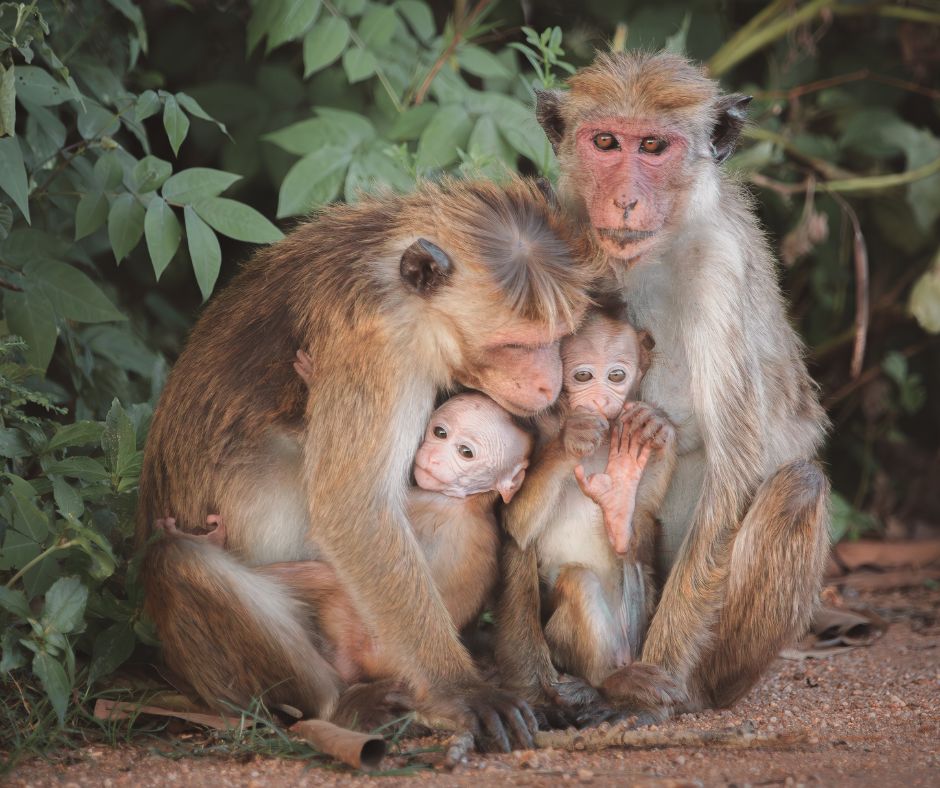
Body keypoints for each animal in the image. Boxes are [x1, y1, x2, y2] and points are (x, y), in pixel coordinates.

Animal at [136, 180, 592, 752]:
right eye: (516, 344)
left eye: (559, 336)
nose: (549, 385)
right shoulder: (377, 351)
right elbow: (354, 511)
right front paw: (461, 689)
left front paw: (535, 687)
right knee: (177, 561)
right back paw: (337, 705)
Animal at [500, 50, 828, 720]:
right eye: (606, 142)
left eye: (653, 146)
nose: (625, 198)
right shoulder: (542, 238)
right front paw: (527, 685)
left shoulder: (721, 269)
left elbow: (735, 469)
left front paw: (658, 685)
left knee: (798, 487)